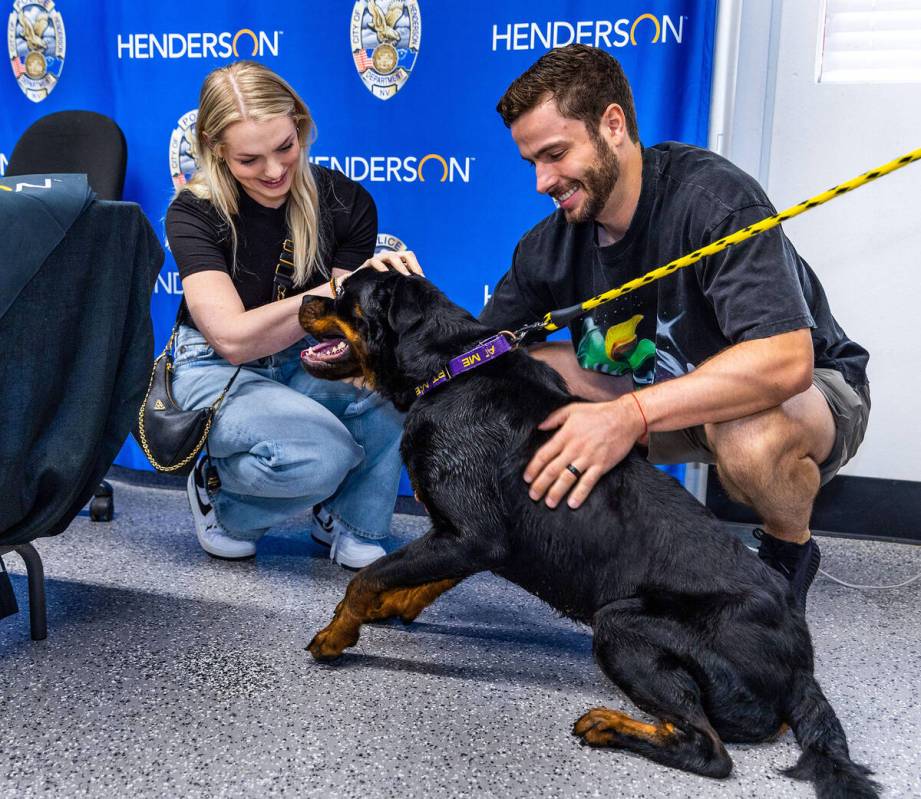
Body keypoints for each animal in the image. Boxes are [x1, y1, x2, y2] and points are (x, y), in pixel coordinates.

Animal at [300, 272, 876, 796]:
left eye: (345, 293)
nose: (304, 297)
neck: (449, 369)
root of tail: (802, 666)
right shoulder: (469, 539)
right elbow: (421, 576)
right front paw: (393, 604)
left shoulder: (472, 533)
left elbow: (368, 577)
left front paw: (335, 635)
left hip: (622, 623)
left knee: (708, 749)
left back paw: (609, 725)